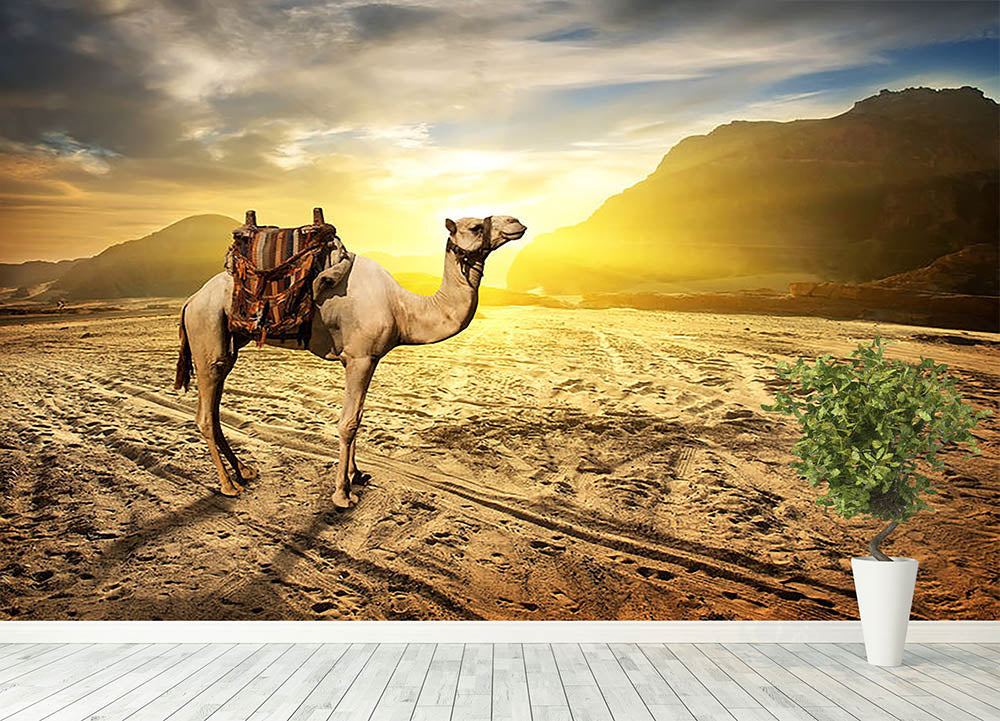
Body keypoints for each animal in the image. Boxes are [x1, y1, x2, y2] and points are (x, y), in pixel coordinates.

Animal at [174, 213, 527, 508]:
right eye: (476, 227)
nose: (516, 222)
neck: (403, 308)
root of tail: (190, 300)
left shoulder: (364, 358)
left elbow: (358, 417)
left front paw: (357, 475)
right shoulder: (359, 357)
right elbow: (348, 423)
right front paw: (342, 494)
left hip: (227, 345)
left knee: (214, 410)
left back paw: (244, 470)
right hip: (207, 332)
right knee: (205, 415)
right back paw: (228, 485)